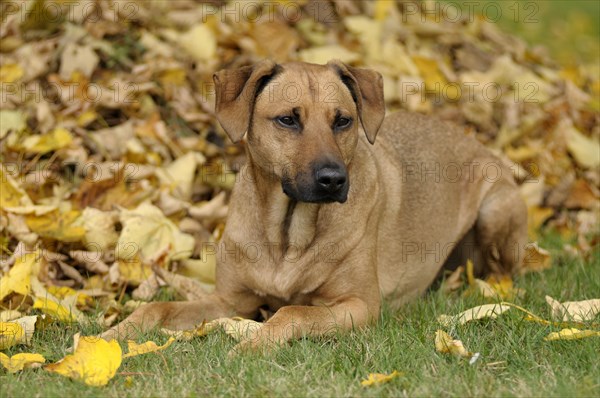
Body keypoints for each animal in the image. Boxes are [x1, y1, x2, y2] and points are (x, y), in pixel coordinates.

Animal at [101, 59, 528, 352]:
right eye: (288, 120)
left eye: (343, 121)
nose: (333, 179)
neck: (287, 233)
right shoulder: (230, 301)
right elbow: (156, 309)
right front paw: (114, 333)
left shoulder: (359, 305)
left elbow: (292, 311)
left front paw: (253, 344)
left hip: (496, 210)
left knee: (505, 274)